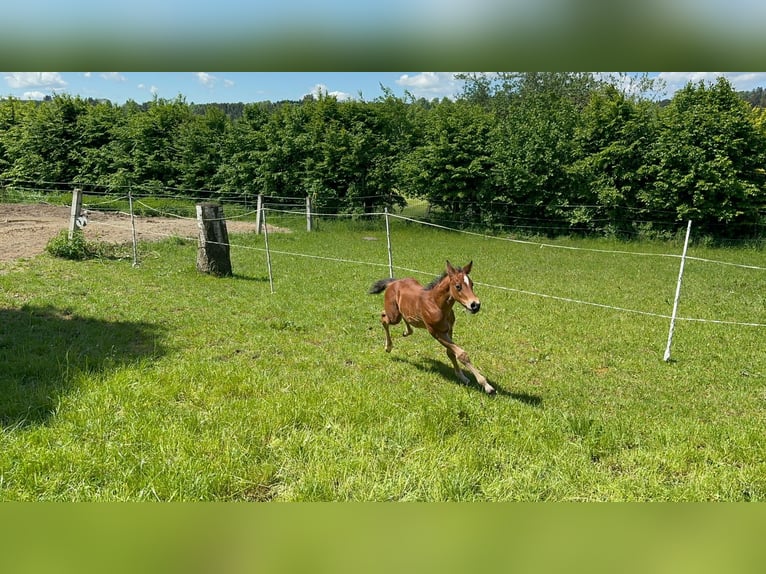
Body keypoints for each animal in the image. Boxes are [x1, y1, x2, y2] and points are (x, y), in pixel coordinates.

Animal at [368, 260, 495, 395]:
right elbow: (461, 354)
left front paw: (462, 376)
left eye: (472, 284)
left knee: (401, 317)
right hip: (394, 316)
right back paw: (388, 347)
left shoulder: (449, 329)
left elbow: (451, 353)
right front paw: (486, 385)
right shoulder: (436, 332)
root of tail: (393, 282)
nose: (475, 305)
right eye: (458, 286)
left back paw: (407, 331)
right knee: (384, 317)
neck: (437, 304)